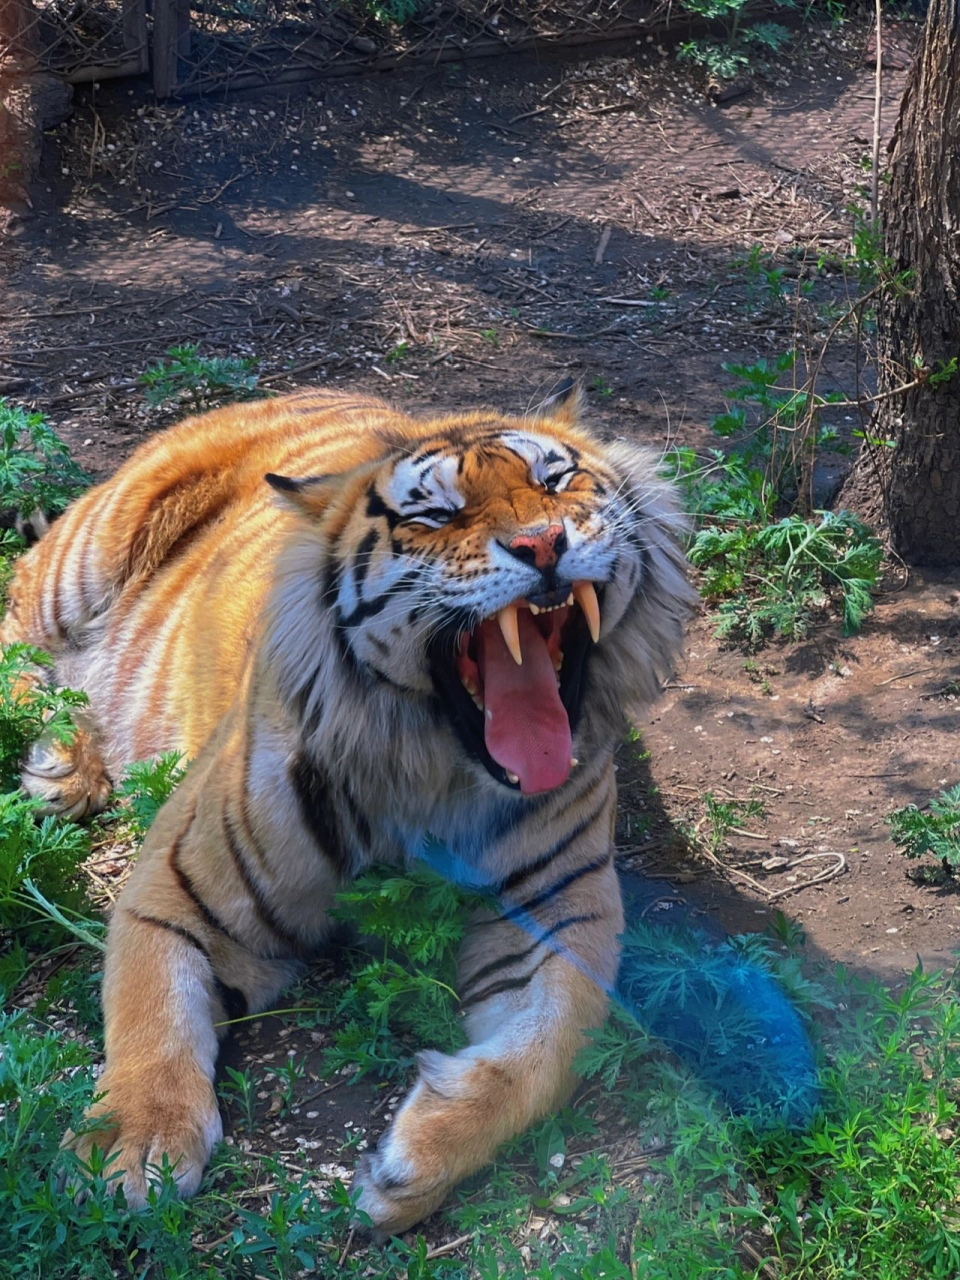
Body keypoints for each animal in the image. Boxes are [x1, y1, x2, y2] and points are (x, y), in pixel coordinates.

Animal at [0, 378, 691, 1228]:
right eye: (436, 515)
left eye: (557, 482)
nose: (542, 544)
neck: (438, 774)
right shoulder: (178, 885)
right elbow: (150, 1014)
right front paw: (128, 1150)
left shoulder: (560, 920)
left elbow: (546, 1049)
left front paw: (413, 1164)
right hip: (91, 550)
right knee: (15, 612)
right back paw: (62, 767)